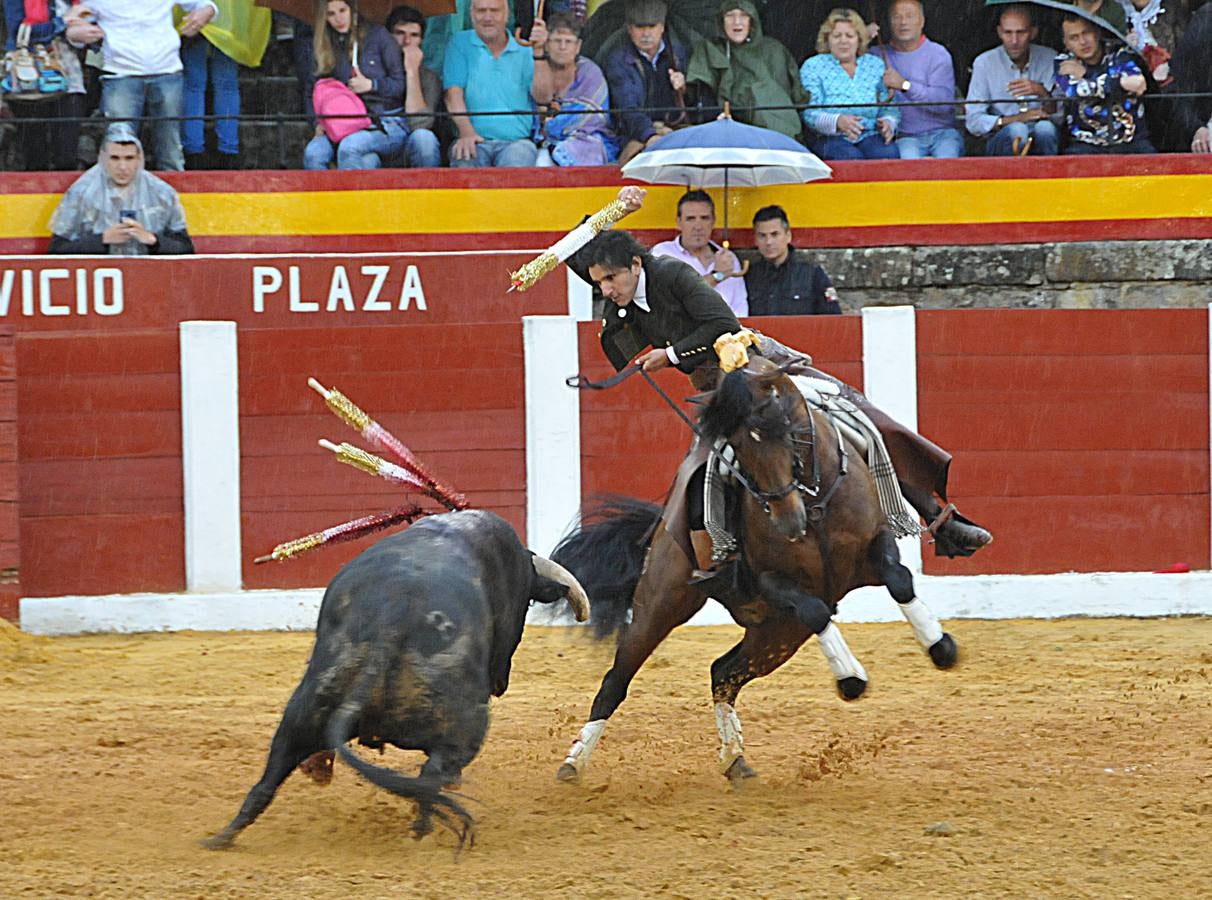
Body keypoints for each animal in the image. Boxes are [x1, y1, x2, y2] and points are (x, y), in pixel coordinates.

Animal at [204, 511, 591, 847]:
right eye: (525, 606)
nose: (500, 683)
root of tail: (390, 626)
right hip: (464, 724)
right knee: (432, 776)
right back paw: (421, 831)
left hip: (302, 710)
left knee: (269, 776)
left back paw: (221, 838)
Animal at [550, 356, 955, 784]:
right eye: (736, 450)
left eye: (790, 433)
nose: (789, 522)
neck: (813, 506)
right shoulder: (771, 580)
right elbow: (815, 609)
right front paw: (851, 679)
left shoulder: (873, 548)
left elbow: (900, 579)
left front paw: (941, 646)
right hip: (663, 603)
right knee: (617, 680)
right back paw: (573, 762)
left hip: (777, 634)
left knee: (723, 673)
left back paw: (735, 759)